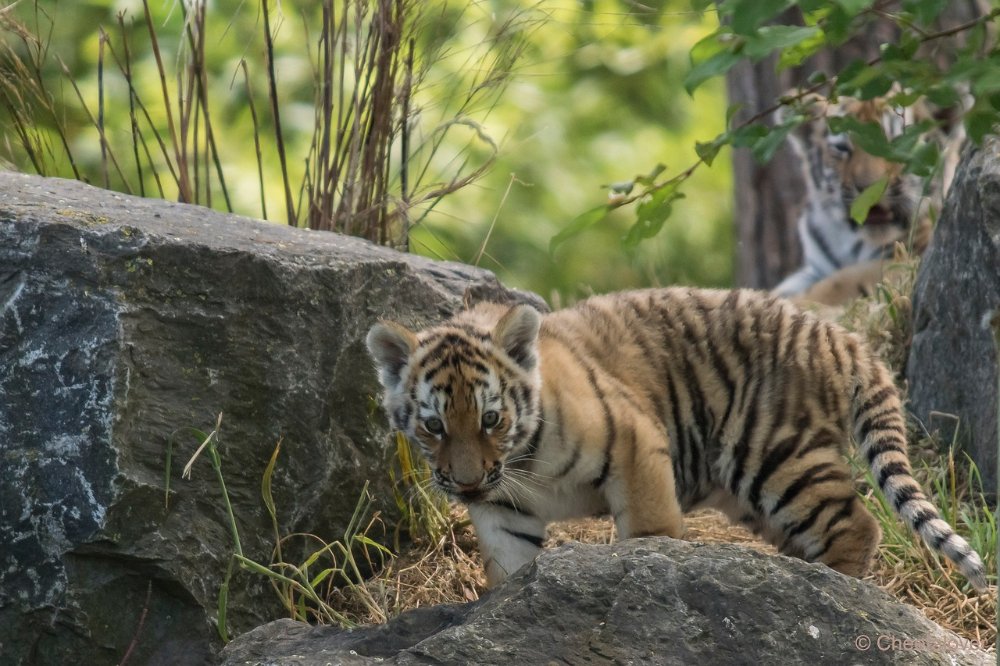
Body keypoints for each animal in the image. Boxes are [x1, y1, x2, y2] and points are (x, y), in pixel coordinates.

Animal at [366, 288, 984, 588]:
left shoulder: (635, 444)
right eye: (434, 426)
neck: (522, 462)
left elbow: (649, 532)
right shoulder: (502, 512)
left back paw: (838, 592)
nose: (467, 484)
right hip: (757, 495)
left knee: (857, 524)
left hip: (774, 453)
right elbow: (509, 570)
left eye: (490, 419)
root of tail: (840, 336)